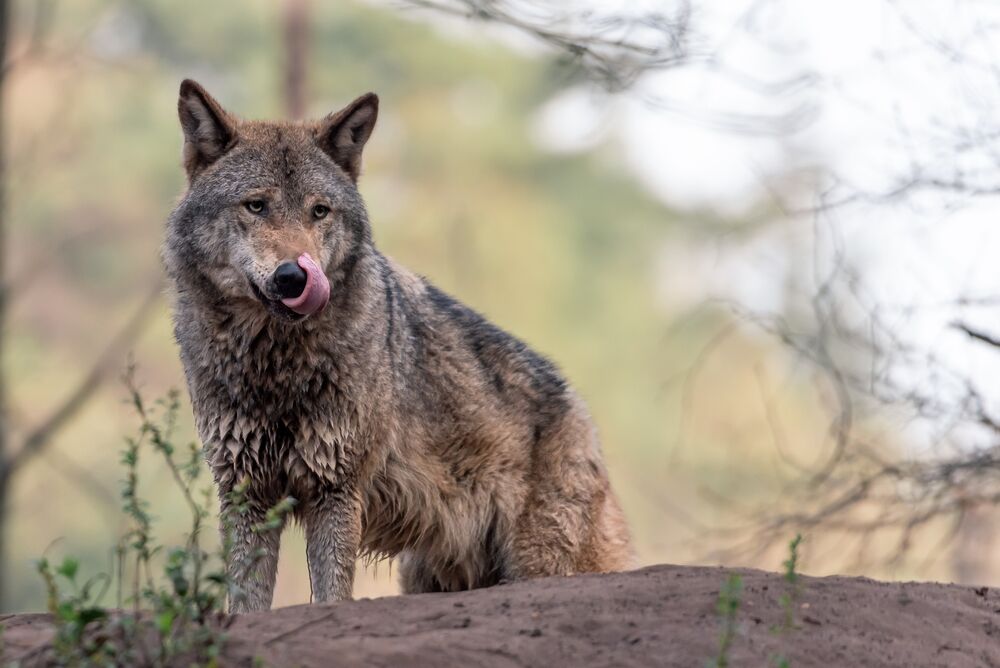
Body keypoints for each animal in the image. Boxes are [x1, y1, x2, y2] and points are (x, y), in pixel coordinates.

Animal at [163, 80, 634, 613]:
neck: (275, 365)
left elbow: (331, 597)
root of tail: (580, 409)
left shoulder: (336, 491)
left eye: (319, 211)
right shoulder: (245, 493)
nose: (294, 277)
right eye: (256, 206)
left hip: (535, 565)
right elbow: (246, 605)